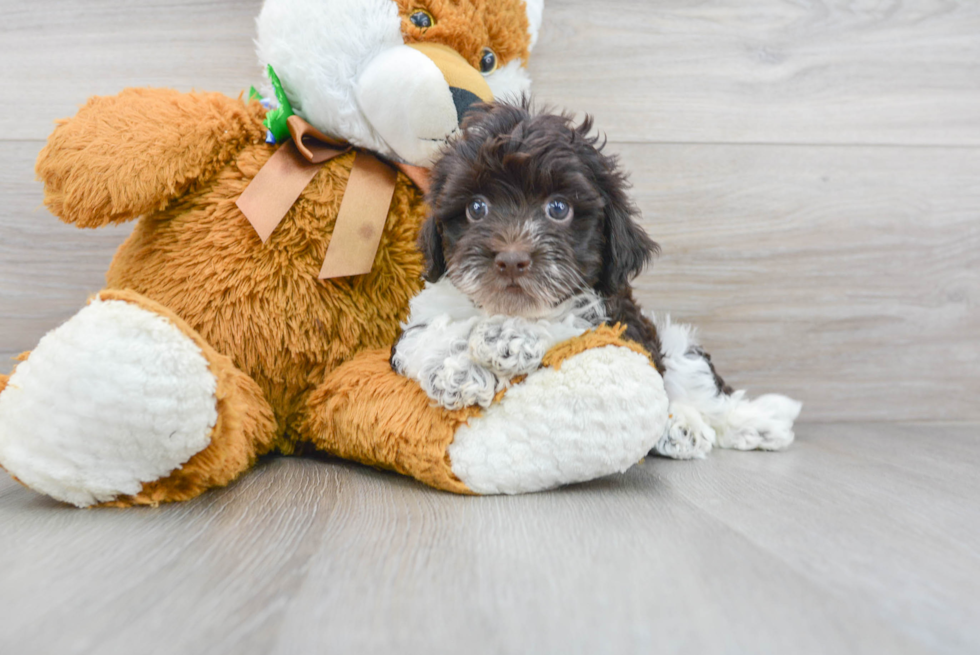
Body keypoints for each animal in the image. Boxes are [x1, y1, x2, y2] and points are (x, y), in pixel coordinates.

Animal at [386, 101, 800, 462]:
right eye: (476, 208)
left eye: (558, 208)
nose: (511, 259)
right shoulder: (419, 321)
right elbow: (426, 334)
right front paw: (457, 368)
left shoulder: (618, 319)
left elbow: (572, 320)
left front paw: (509, 336)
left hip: (675, 347)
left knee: (703, 391)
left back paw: (750, 424)